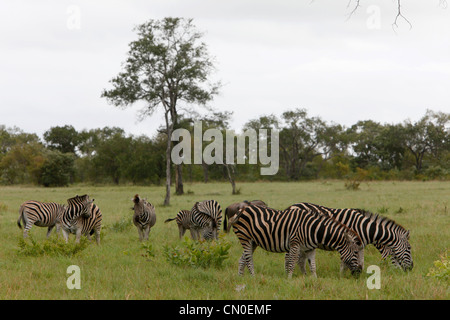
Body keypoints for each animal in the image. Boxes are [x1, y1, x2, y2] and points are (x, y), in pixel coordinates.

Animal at [230, 205, 364, 278]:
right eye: (356, 253)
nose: (359, 273)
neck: (313, 229)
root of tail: (243, 208)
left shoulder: (310, 248)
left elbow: (312, 266)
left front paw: (315, 279)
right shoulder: (295, 244)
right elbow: (291, 263)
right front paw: (289, 279)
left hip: (253, 241)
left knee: (242, 259)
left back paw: (241, 278)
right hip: (245, 238)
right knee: (248, 259)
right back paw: (253, 277)